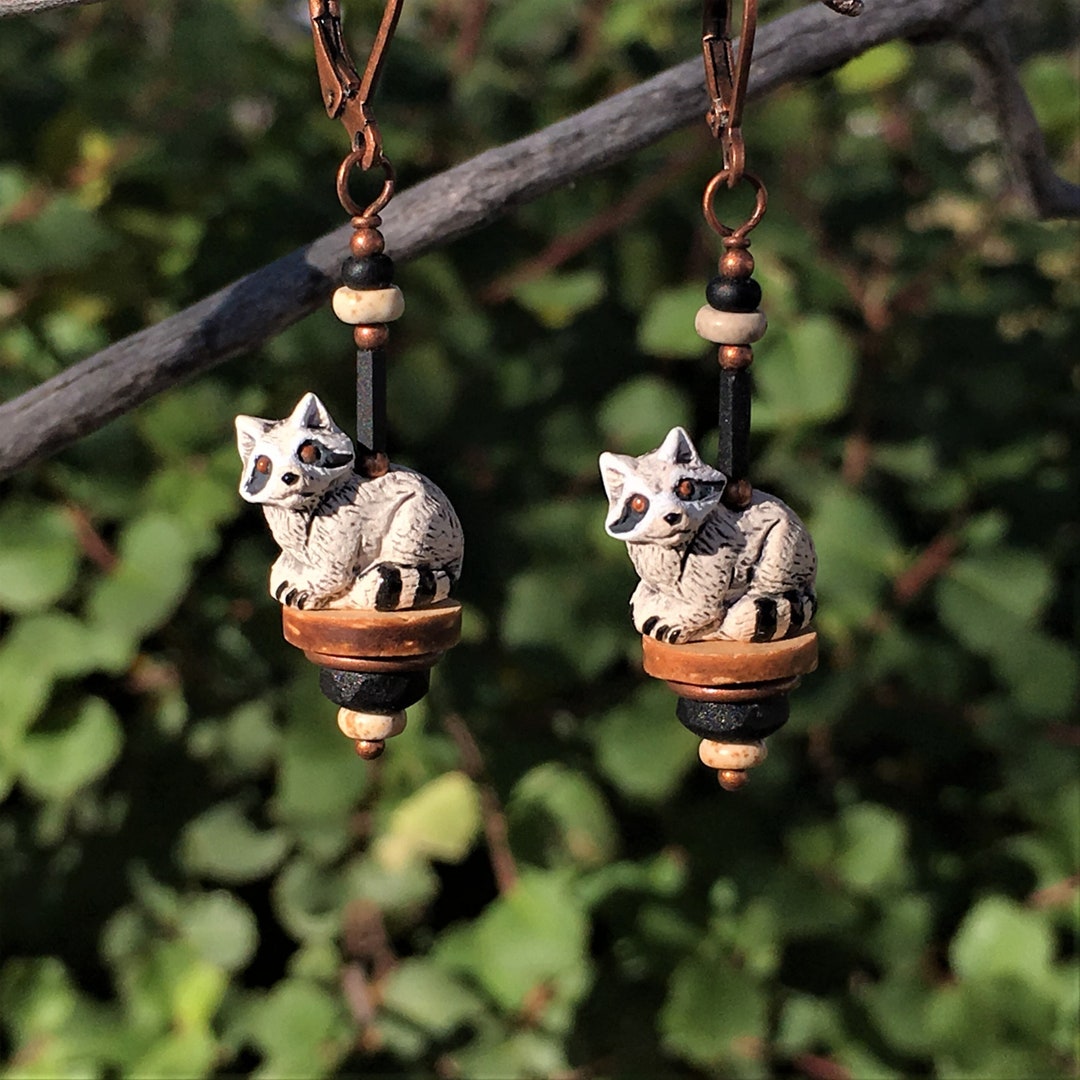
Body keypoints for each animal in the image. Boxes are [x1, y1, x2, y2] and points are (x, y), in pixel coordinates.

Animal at [235, 393, 463, 611]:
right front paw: (289, 569)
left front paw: (312, 588)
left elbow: (335, 573)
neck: (305, 507)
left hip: (419, 523)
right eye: (264, 465)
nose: (289, 477)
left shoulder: (343, 520)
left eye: (308, 452)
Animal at [599, 427, 816, 644]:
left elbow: (706, 606)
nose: (672, 515)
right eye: (638, 503)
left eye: (686, 488)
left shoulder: (716, 545)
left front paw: (678, 620)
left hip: (787, 545)